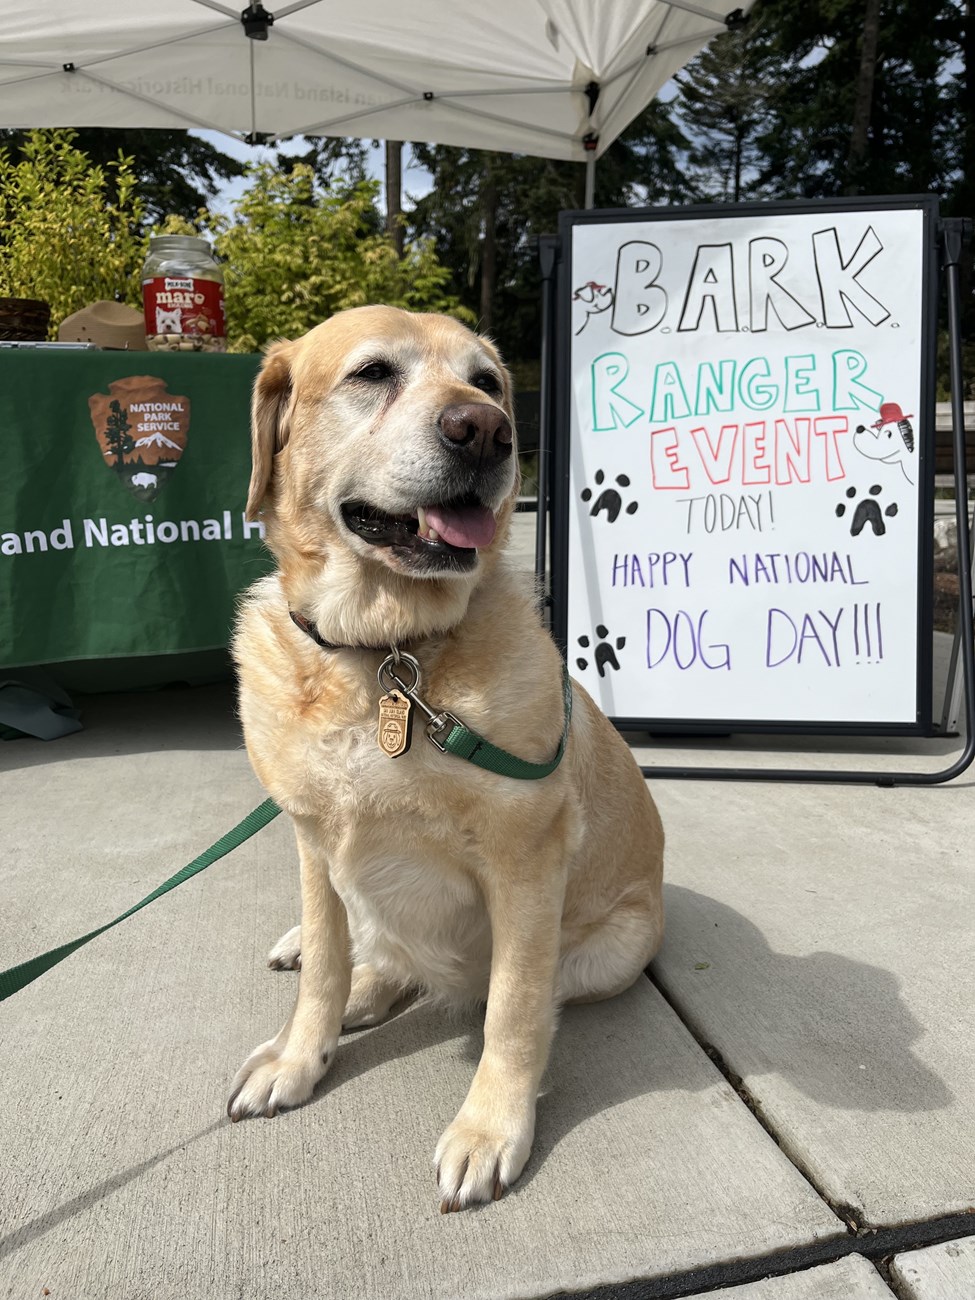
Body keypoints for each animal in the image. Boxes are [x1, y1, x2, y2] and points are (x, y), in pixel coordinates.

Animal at [232, 301, 670, 1206]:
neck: (382, 654)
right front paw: (298, 1056)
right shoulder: (311, 839)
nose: (486, 432)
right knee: (365, 949)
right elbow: (326, 966)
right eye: (372, 373)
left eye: (488, 383)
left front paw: (489, 1129)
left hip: (612, 949)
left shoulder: (525, 867)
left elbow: (513, 1009)